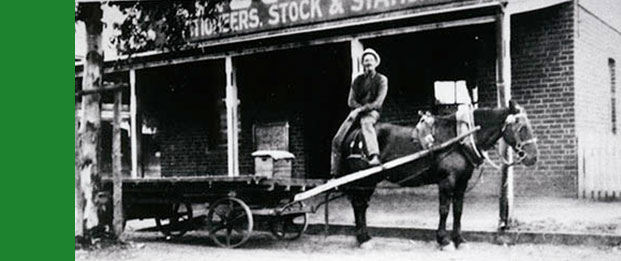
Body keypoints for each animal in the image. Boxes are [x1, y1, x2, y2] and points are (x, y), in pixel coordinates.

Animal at [336, 99, 536, 248]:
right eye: (522, 128)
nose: (533, 157)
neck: (459, 138)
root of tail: (354, 133)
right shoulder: (446, 181)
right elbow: (444, 209)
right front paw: (444, 240)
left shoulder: (462, 182)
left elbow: (458, 209)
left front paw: (459, 239)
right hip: (365, 180)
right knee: (359, 205)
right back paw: (363, 239)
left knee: (361, 206)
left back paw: (364, 237)